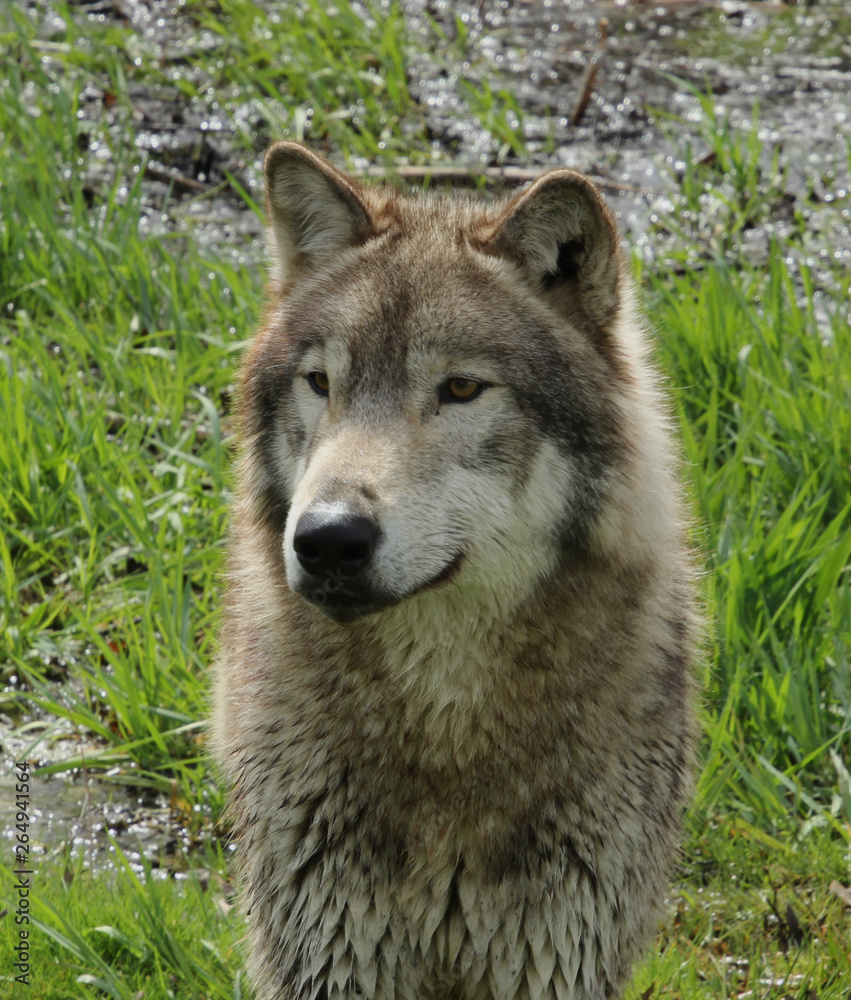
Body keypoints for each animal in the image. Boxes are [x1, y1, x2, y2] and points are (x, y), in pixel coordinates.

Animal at [213, 141, 697, 1000]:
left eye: (461, 389)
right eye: (320, 382)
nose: (327, 539)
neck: (446, 733)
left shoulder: (558, 955)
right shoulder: (327, 951)